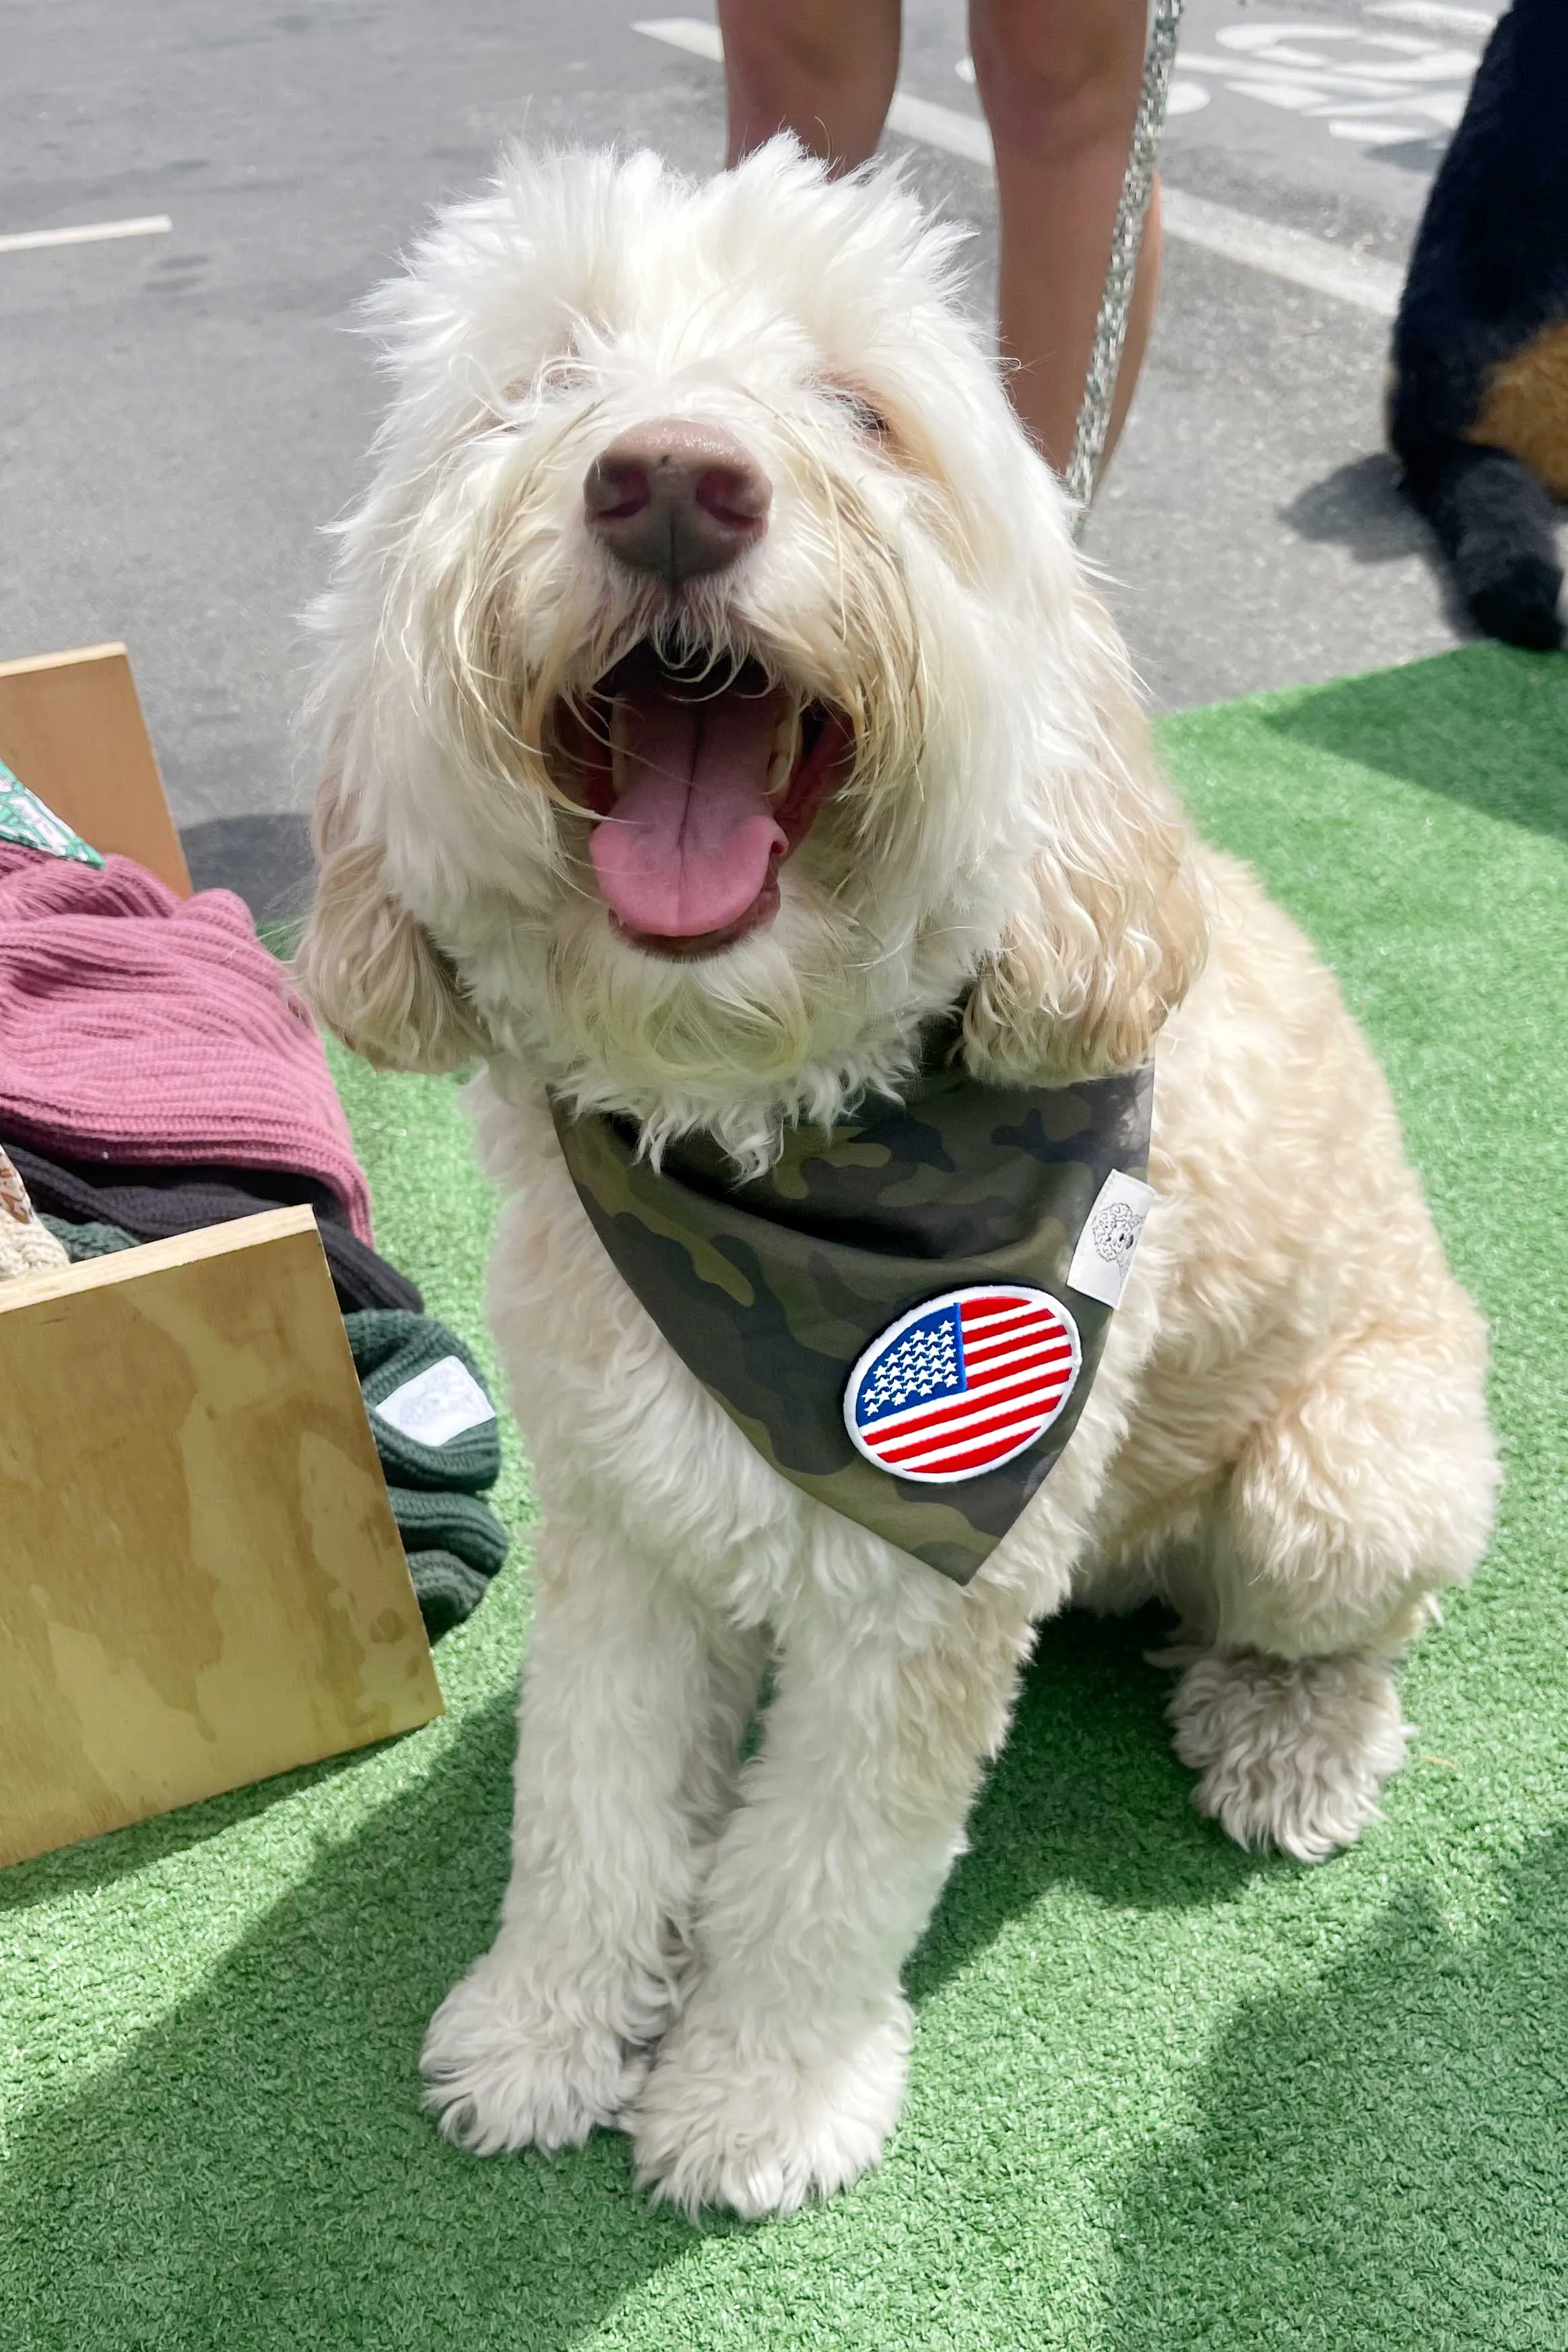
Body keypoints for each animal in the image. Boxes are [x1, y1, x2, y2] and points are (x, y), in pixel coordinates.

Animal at [300, 137, 1504, 2211]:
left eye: (862, 410)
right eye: (540, 383)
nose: (668, 476)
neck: (760, 1128)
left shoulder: (923, 1592)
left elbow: (817, 1874)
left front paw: (753, 2100)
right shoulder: (625, 1522)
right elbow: (588, 1804)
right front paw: (545, 2031)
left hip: (1347, 1477)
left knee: (1362, 1618)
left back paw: (1288, 1737)